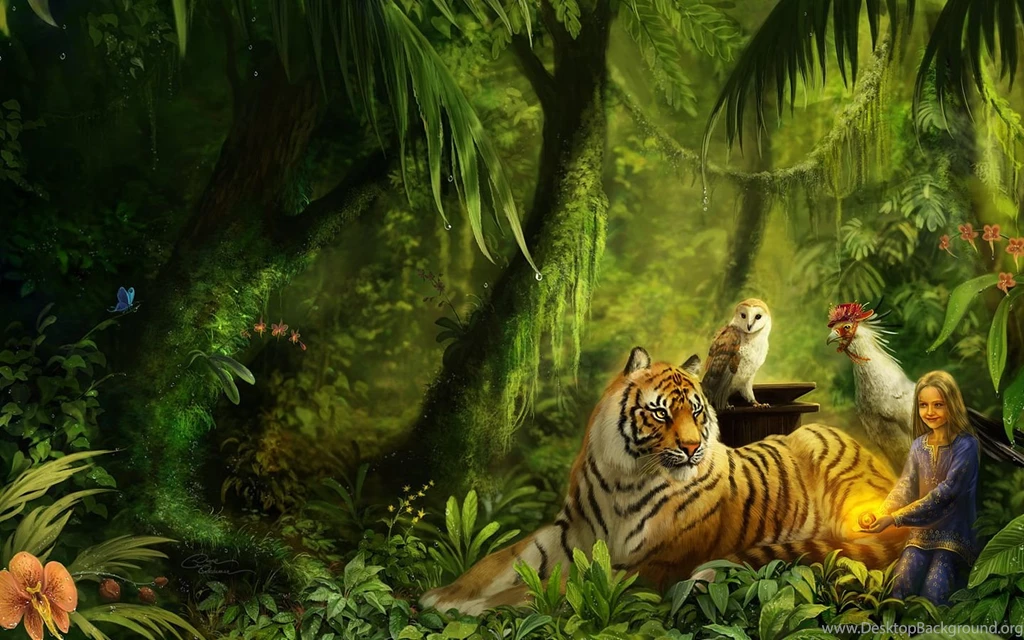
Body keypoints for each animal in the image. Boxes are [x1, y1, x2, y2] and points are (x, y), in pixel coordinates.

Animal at [420, 347, 910, 615]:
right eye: (660, 412)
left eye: (695, 411)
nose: (692, 447)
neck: (624, 477)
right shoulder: (562, 535)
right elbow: (493, 564)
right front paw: (443, 596)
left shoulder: (652, 564)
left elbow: (556, 585)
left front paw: (480, 607)